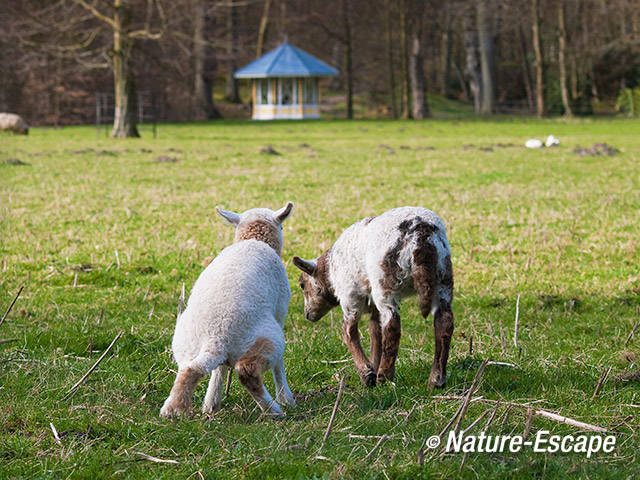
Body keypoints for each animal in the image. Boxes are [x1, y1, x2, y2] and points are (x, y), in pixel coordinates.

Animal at [162, 202, 298, 416]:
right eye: (282, 227)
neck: (253, 238)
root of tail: (215, 338)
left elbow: (219, 369)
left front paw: (211, 404)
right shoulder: (281, 312)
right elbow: (279, 366)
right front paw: (286, 399)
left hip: (186, 347)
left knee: (191, 369)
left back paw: (175, 408)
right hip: (267, 337)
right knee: (247, 372)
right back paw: (274, 410)